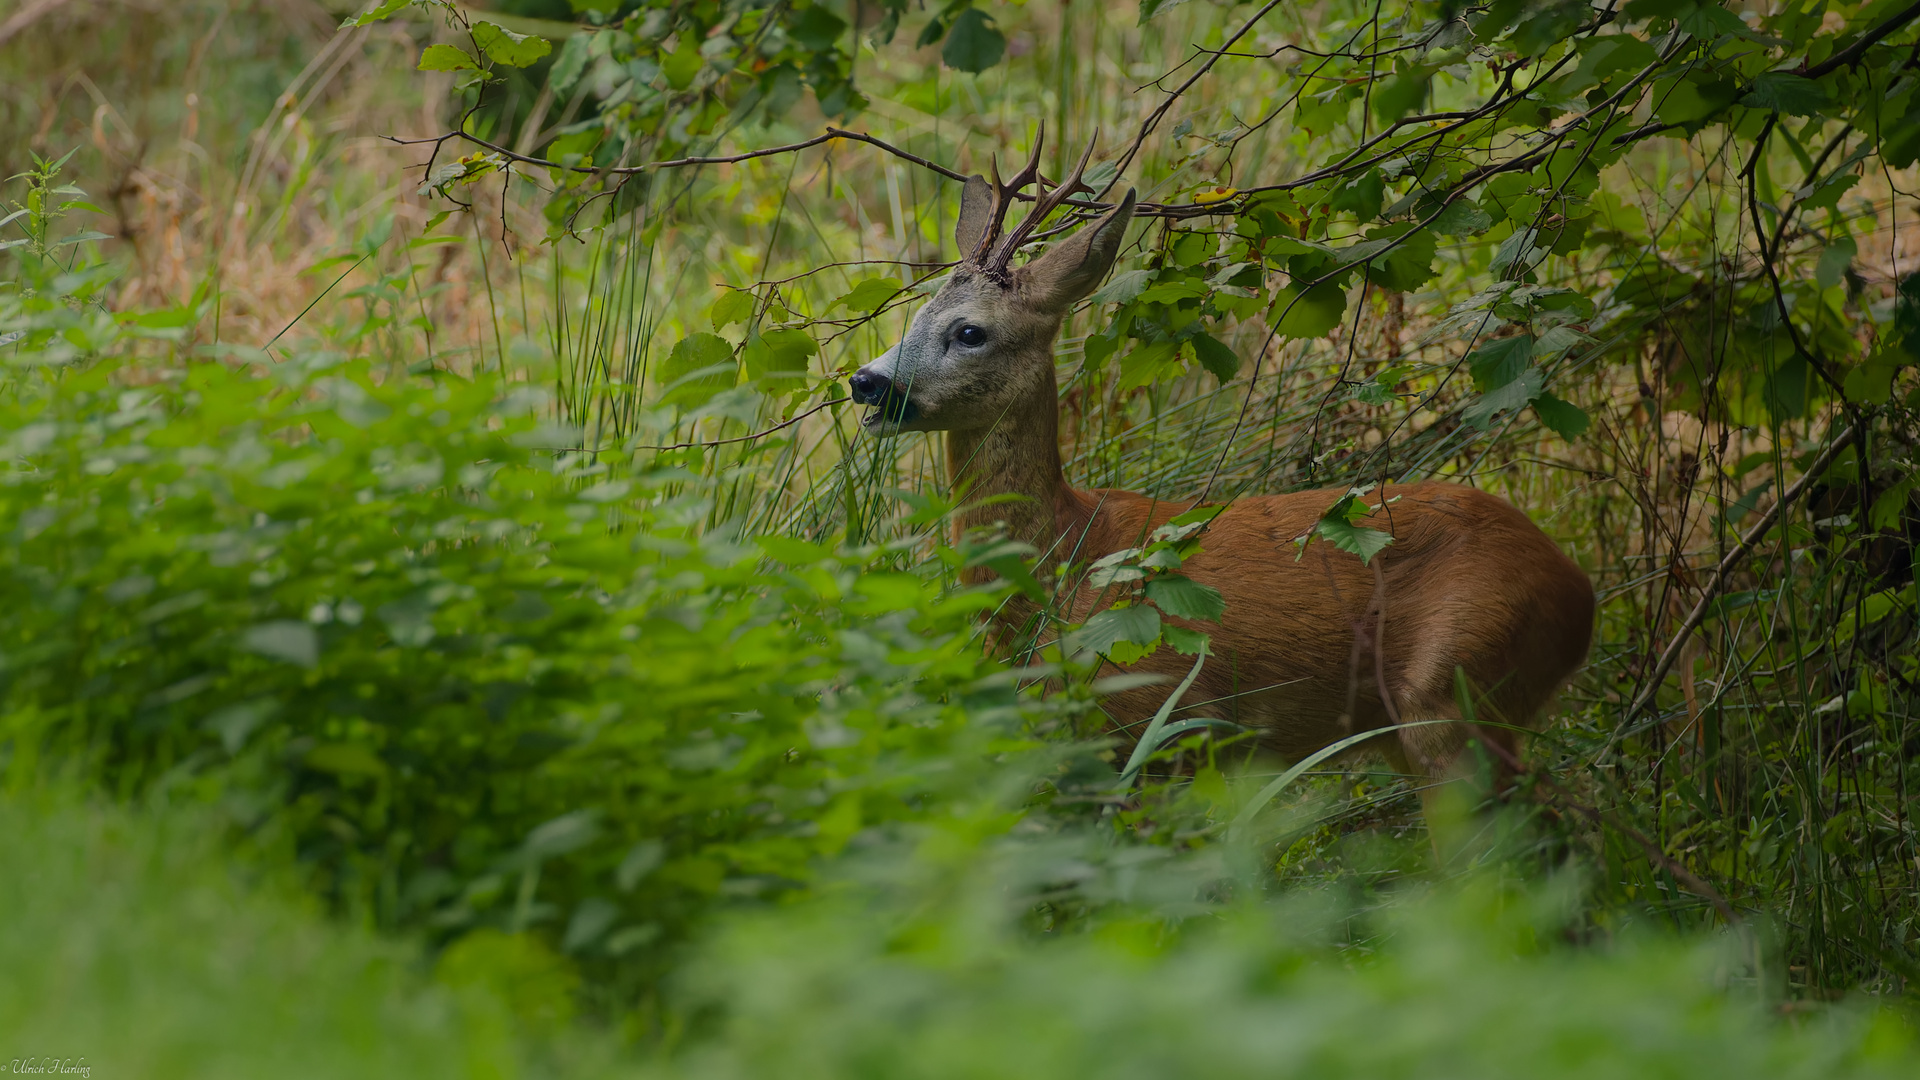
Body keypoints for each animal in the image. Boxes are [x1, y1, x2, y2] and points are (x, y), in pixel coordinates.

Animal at [848, 130, 1597, 810]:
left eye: (970, 331)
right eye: (913, 314)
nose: (865, 383)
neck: (1066, 562)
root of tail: (1578, 589)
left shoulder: (1166, 718)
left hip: (1455, 691)